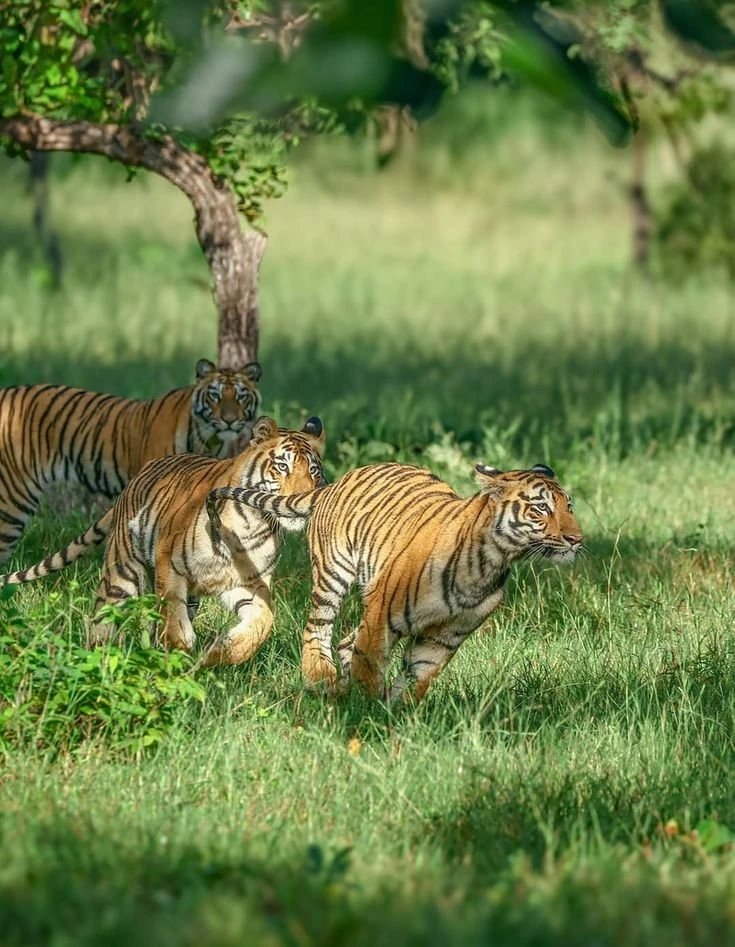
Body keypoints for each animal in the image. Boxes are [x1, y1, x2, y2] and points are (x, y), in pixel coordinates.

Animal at [0, 416, 326, 668]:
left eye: (313, 470)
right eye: (282, 466)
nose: (303, 497)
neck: (252, 523)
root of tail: (137, 476)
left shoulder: (249, 582)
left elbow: (263, 621)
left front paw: (222, 653)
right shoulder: (170, 562)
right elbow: (172, 614)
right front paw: (178, 650)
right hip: (122, 575)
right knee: (103, 619)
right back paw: (97, 658)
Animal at [206, 461, 583, 702]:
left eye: (569, 506)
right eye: (541, 509)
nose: (577, 539)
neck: (490, 563)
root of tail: (337, 481)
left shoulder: (445, 637)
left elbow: (417, 679)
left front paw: (397, 715)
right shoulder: (382, 616)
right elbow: (370, 665)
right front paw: (365, 715)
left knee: (345, 642)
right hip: (332, 575)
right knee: (317, 628)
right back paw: (320, 678)